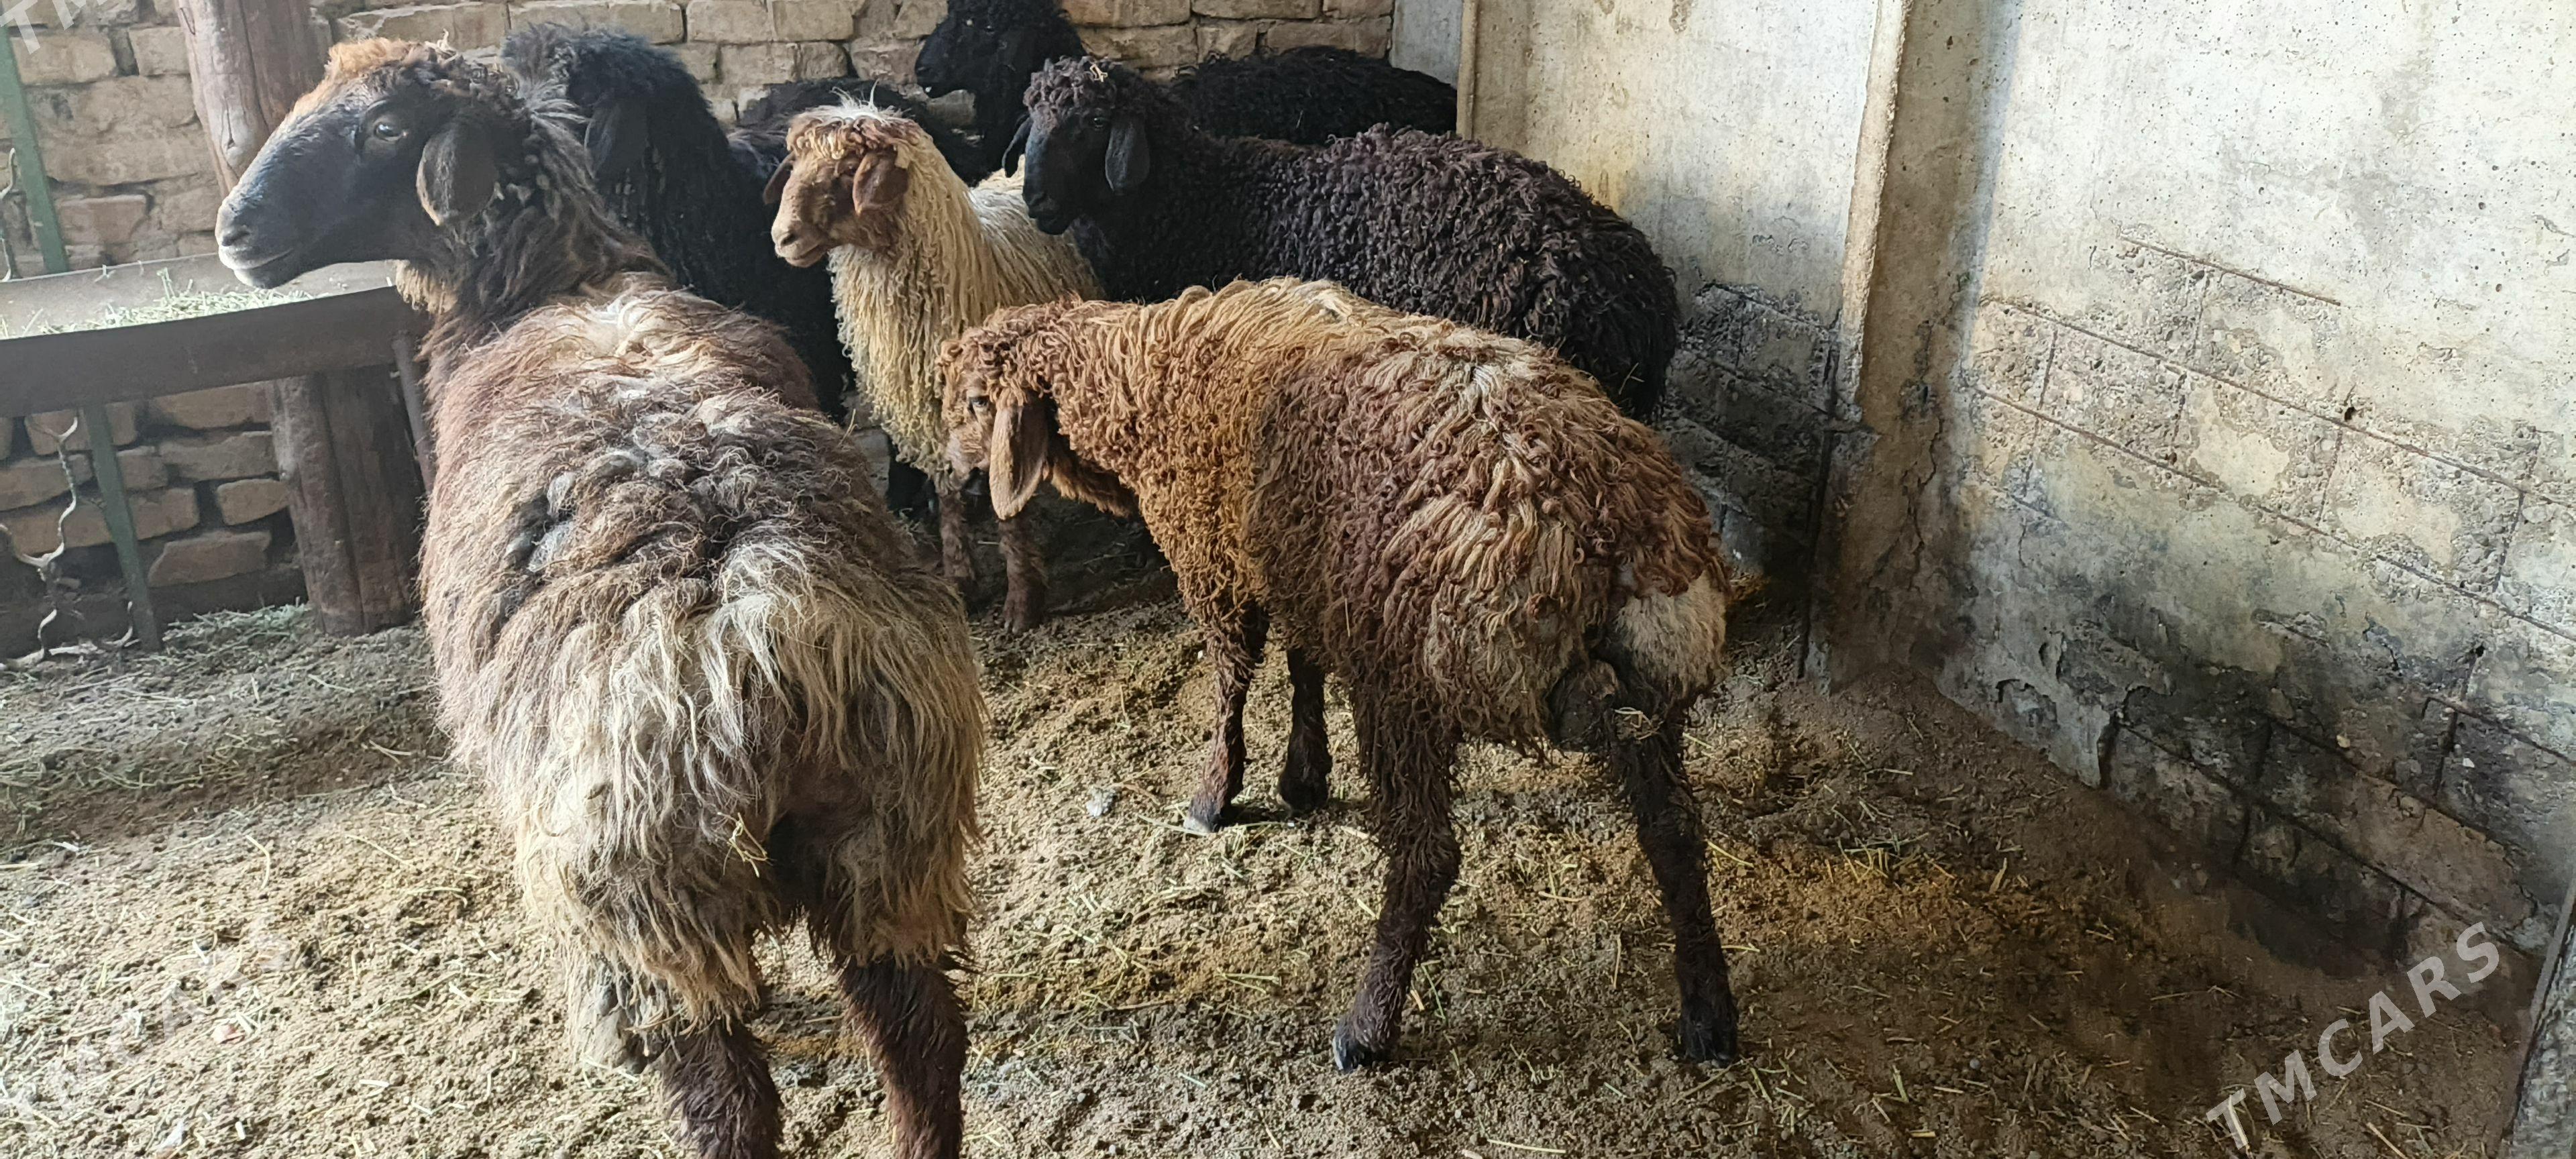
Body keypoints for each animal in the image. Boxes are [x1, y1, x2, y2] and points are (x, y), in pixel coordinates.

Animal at [218, 40, 983, 1159]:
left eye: (385, 129)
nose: (235, 230)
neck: (555, 287)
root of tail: (758, 642)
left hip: (645, 898)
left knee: (727, 1102)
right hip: (890, 834)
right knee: (919, 1040)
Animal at [768, 101, 1100, 632]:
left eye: (848, 169)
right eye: (795, 165)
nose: (783, 238)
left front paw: (1022, 600)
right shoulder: (926, 413)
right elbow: (945, 497)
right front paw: (961, 580)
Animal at [938, 277, 1741, 1071]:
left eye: (976, 402)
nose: (950, 476)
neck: (1144, 380)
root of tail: (1598, 526)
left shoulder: (1214, 560)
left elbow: (1232, 678)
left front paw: (1215, 795)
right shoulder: (1306, 572)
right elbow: (1303, 665)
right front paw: (1304, 775)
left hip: (1407, 685)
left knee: (1427, 858)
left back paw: (1366, 1028)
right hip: (1652, 687)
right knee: (1674, 830)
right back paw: (1709, 1015)